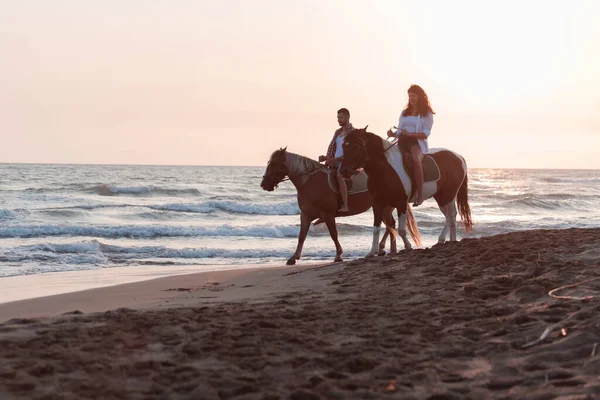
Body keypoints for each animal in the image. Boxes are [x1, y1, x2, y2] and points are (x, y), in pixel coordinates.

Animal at [258, 148, 404, 264]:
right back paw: (385, 249)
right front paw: (293, 257)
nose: (264, 184)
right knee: (390, 225)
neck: (310, 182)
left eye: (274, 163)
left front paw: (339, 255)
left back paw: (387, 249)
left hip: (383, 207)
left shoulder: (328, 215)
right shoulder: (305, 215)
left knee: (390, 225)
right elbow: (302, 236)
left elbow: (334, 234)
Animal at [342, 130, 474, 258]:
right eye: (343, 146)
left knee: (451, 215)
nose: (343, 171)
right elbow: (376, 229)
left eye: (356, 146)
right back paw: (449, 240)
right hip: (440, 197)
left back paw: (445, 239)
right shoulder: (377, 204)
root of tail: (459, 157)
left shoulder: (401, 203)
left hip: (448, 195)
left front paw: (408, 246)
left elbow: (401, 229)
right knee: (449, 216)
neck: (386, 170)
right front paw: (371, 252)